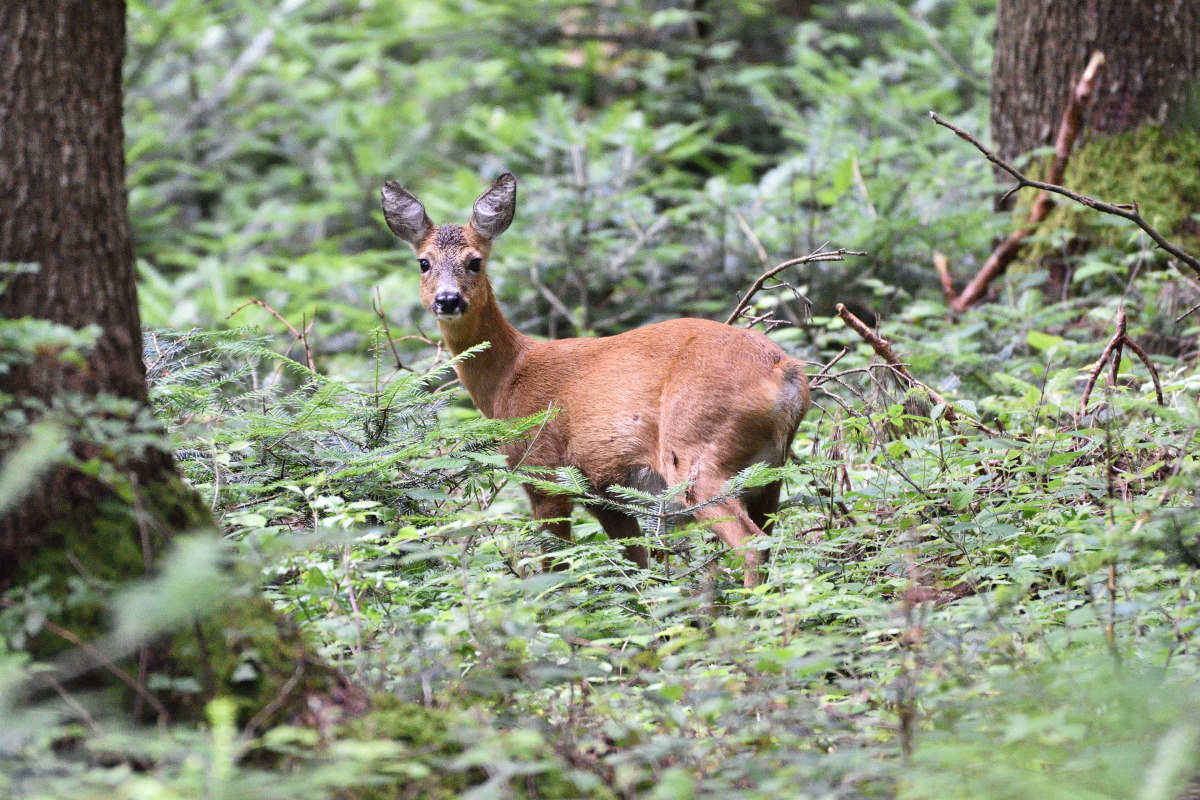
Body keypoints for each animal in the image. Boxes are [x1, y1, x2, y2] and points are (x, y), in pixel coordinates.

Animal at [380, 173, 810, 587]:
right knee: (768, 537)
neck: (510, 378)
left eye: (475, 261)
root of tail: (784, 374)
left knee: (752, 543)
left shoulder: (544, 470)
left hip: (696, 452)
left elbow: (555, 568)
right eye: (423, 262)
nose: (448, 300)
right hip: (770, 471)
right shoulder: (603, 494)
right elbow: (637, 567)